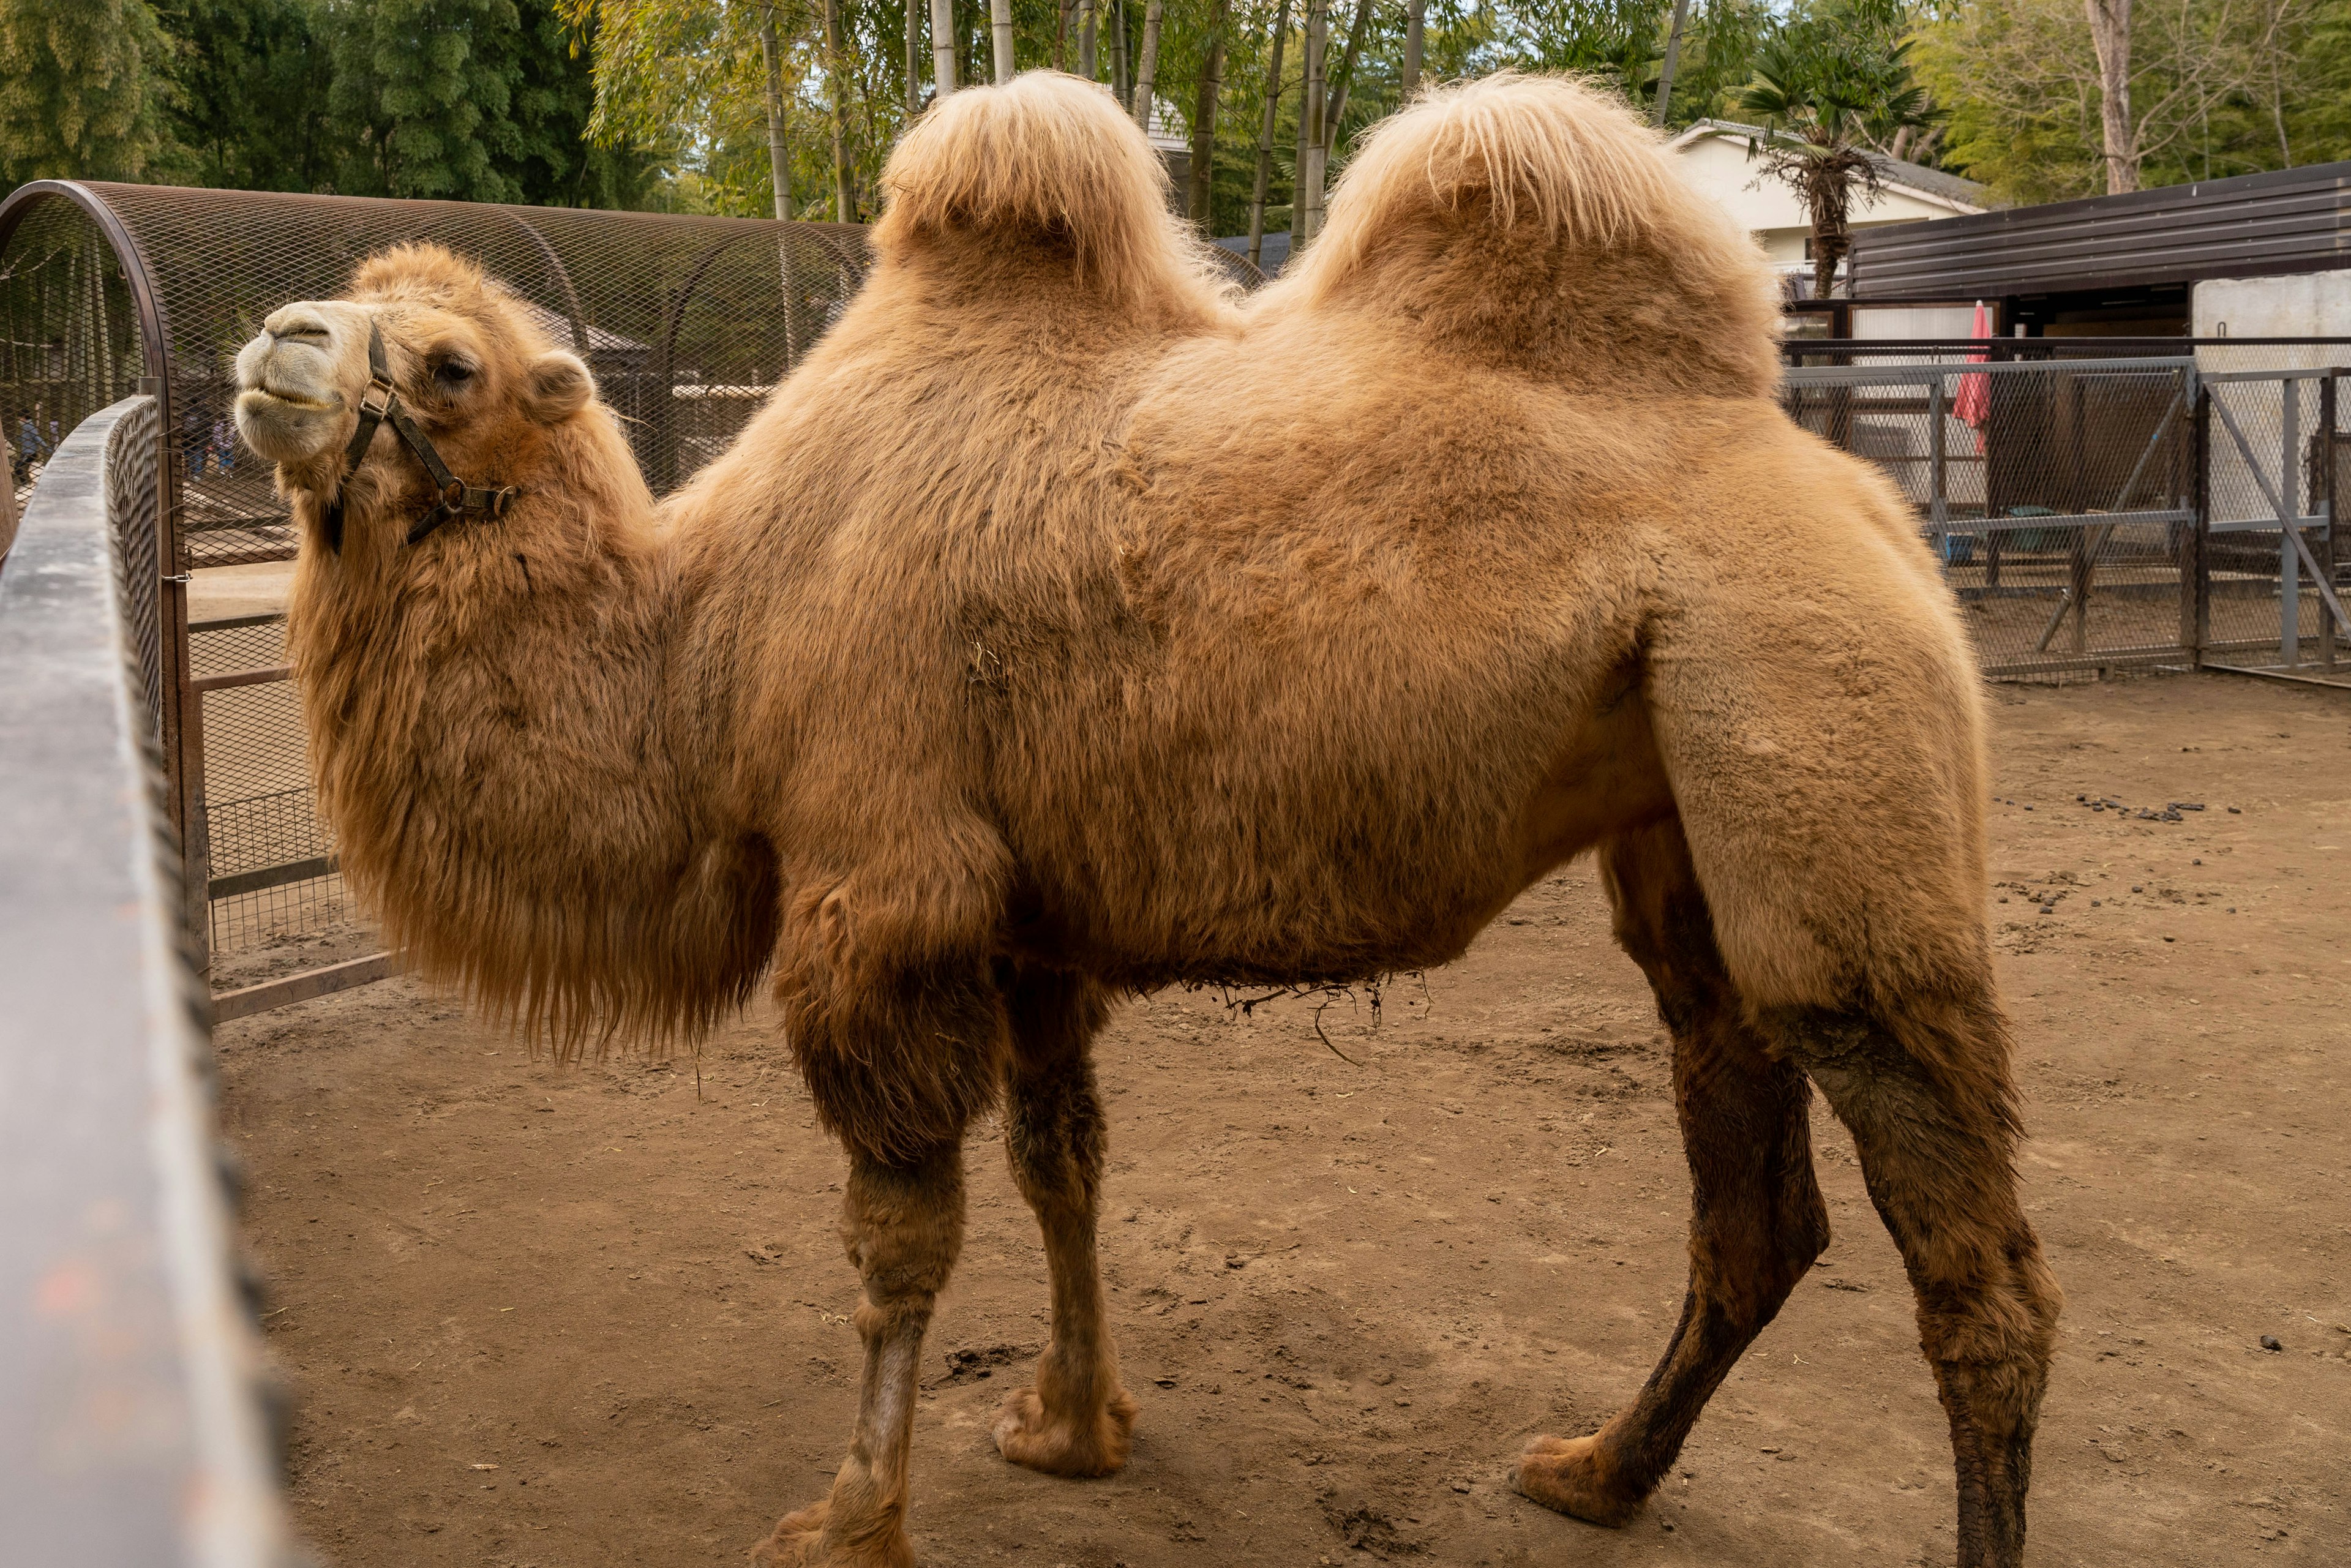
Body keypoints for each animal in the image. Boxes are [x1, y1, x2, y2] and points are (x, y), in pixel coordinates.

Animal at [224, 67, 2059, 1561]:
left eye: (447, 362)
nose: (269, 345)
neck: (705, 649)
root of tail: (1861, 499)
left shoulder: (880, 888)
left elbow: (898, 1236)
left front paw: (851, 1517)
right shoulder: (1029, 919)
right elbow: (1064, 1162)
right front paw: (1071, 1427)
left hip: (1817, 733)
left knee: (1974, 1267)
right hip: (1678, 812)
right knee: (1751, 1197)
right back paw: (1593, 1471)